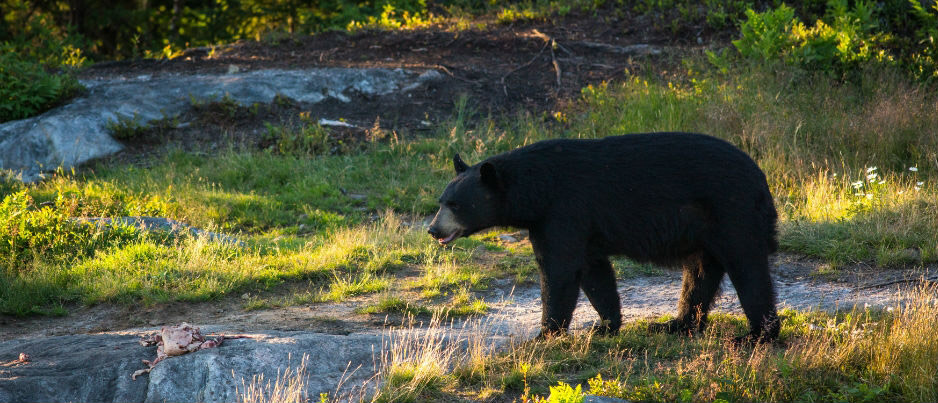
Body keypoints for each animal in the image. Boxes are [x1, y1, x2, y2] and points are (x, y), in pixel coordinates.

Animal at [428, 132, 780, 340]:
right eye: (441, 201)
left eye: (455, 205)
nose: (433, 230)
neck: (538, 189)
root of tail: (761, 178)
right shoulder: (573, 224)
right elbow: (594, 272)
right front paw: (606, 325)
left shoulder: (563, 210)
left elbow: (559, 270)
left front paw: (546, 333)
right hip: (706, 229)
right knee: (700, 273)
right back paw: (676, 323)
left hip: (732, 212)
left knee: (748, 268)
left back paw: (758, 335)